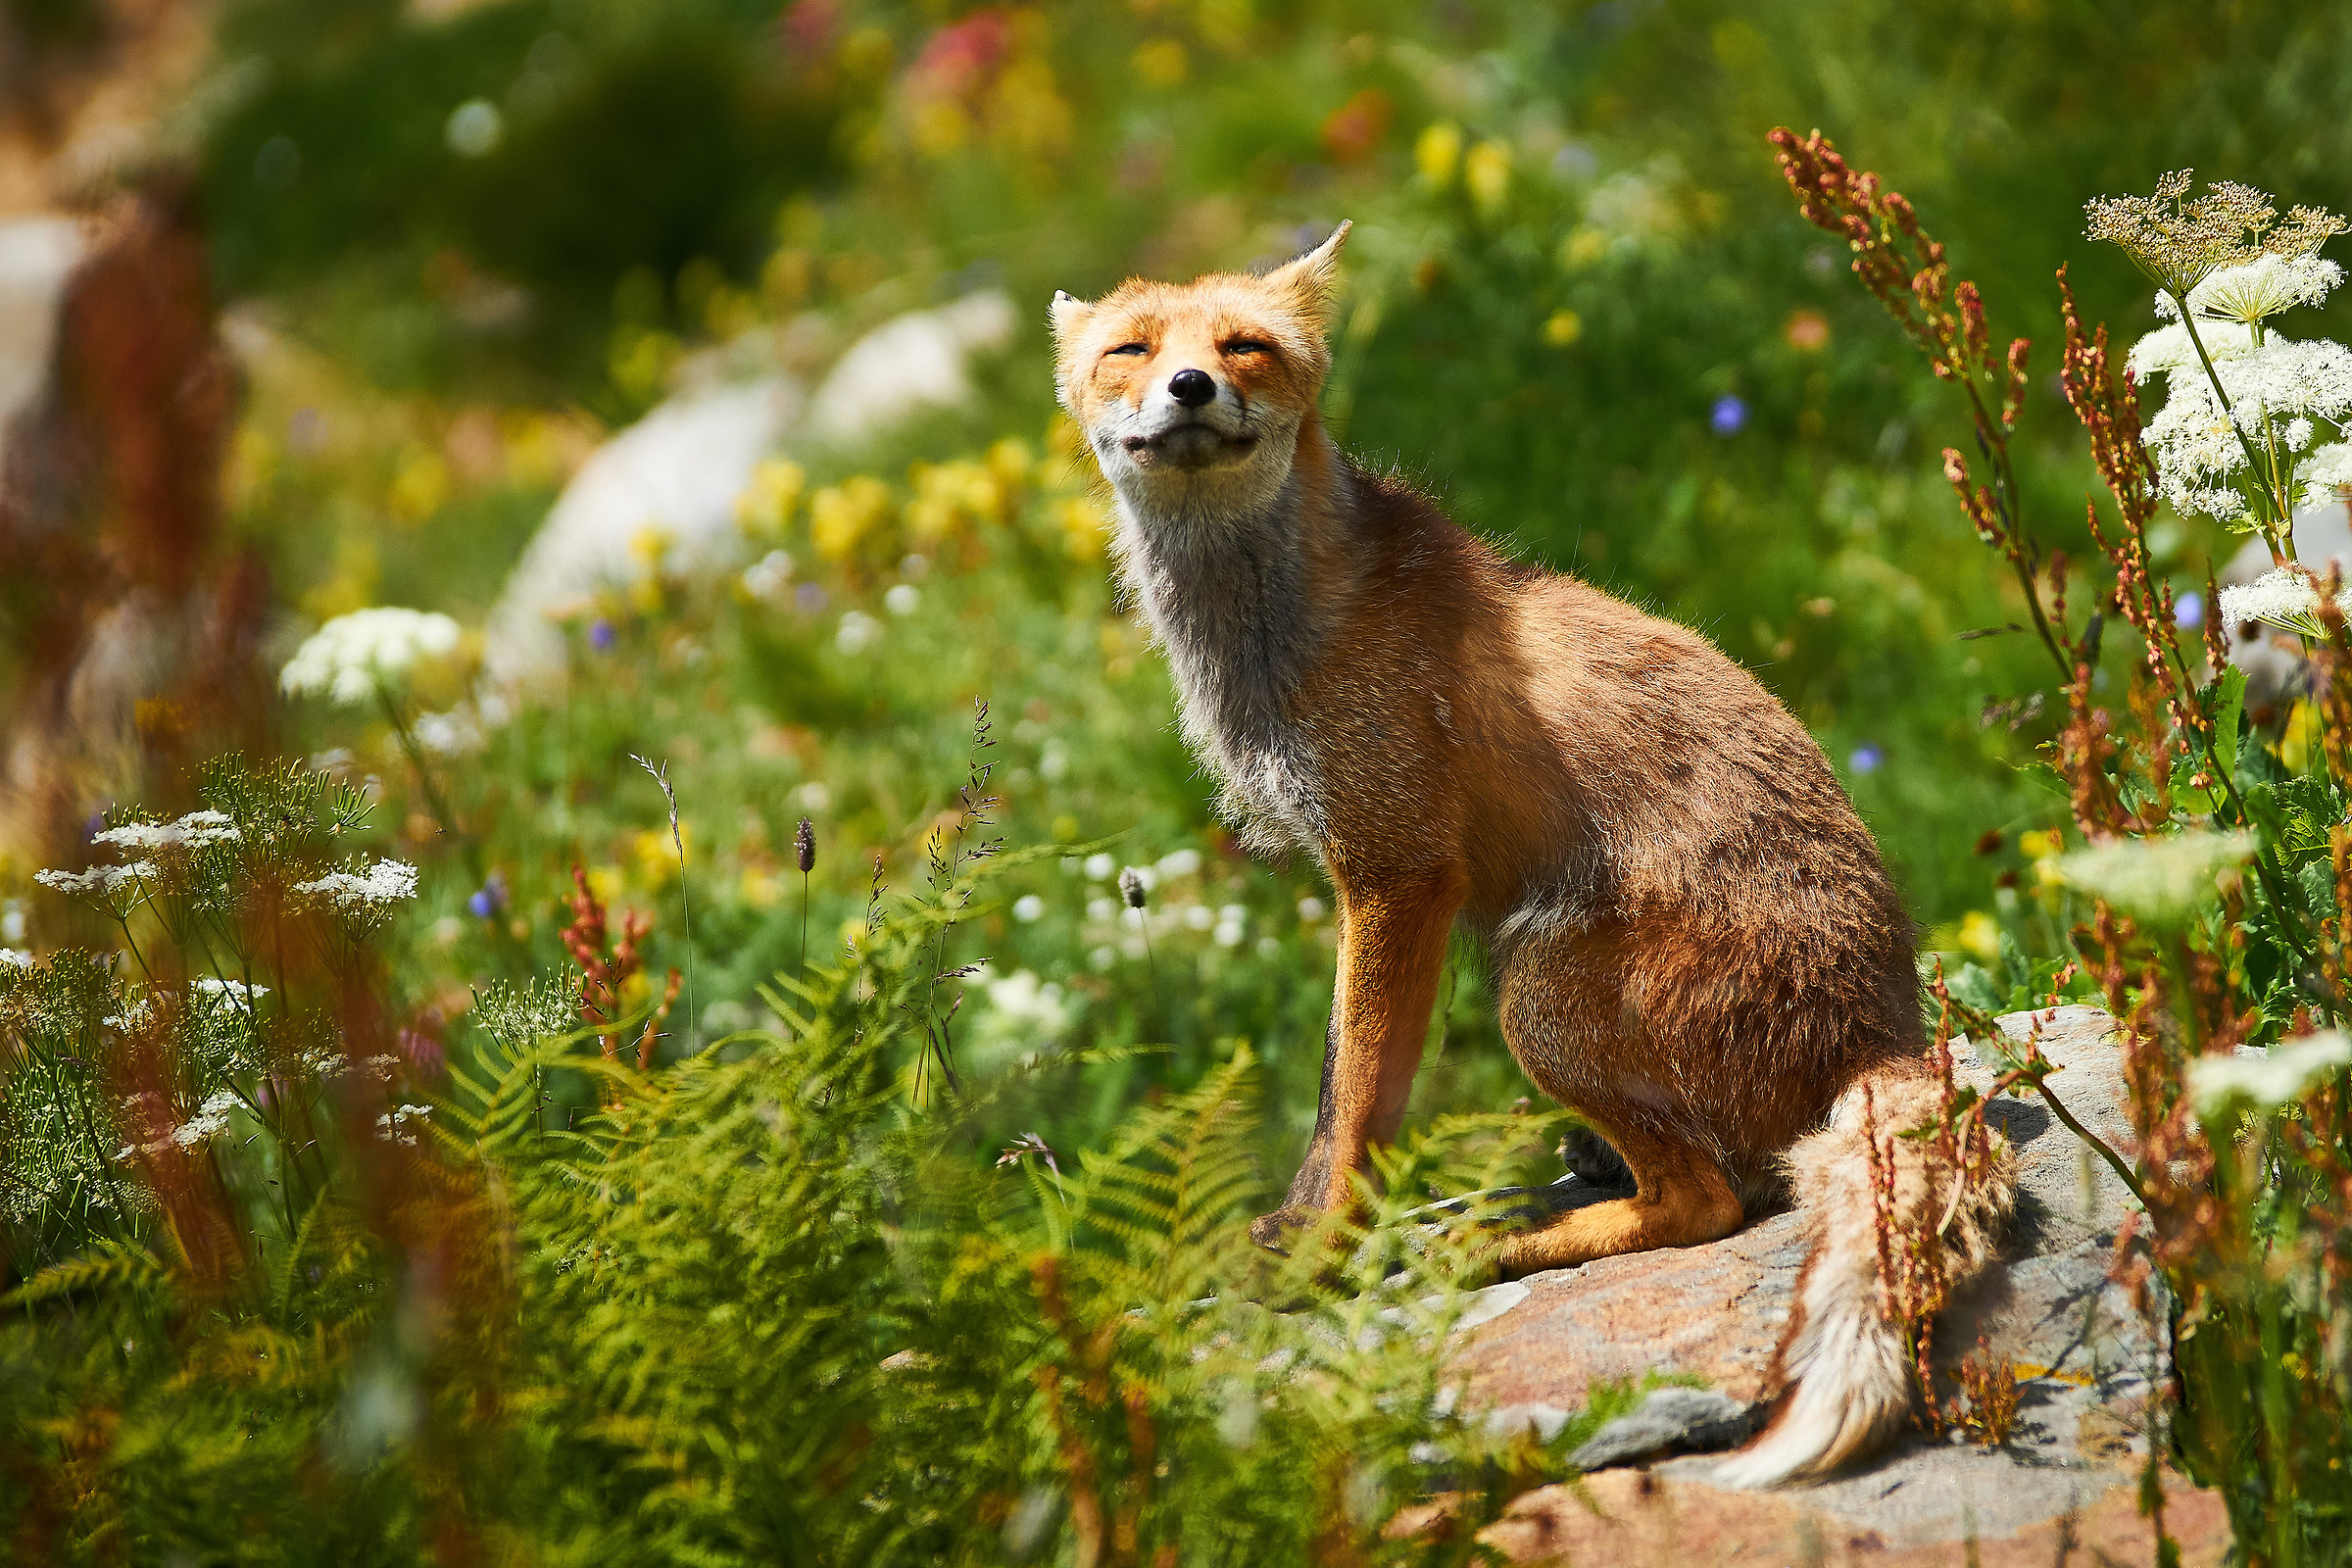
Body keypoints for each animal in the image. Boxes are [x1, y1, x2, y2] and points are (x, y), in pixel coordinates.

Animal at [1046, 222, 2016, 1487]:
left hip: (1537, 996)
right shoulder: (1373, 879)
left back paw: (1513, 1238)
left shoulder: (1398, 871)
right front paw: (1305, 1230)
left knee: (1705, 1202)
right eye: (1133, 350)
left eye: (1245, 344)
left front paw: (1320, 1253)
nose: (1193, 387)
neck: (1278, 642)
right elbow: (1337, 1094)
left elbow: (1354, 1095)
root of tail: (1886, 1038)